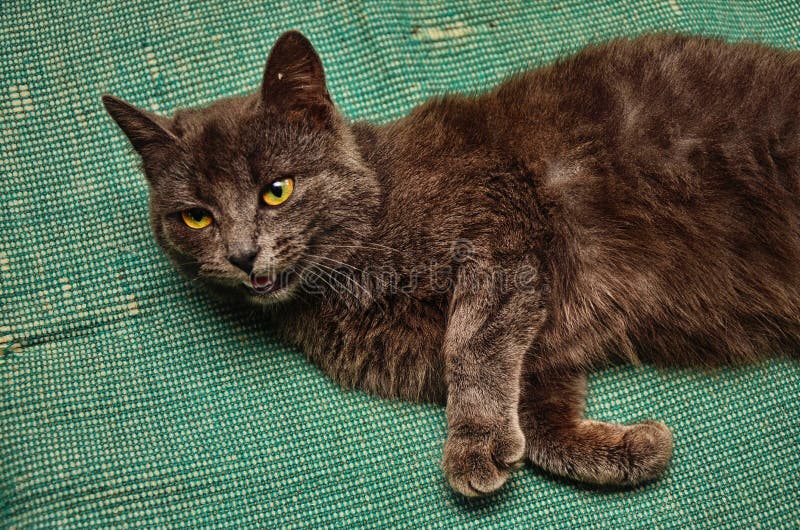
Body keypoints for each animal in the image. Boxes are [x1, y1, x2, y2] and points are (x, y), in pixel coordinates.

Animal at [100, 32, 800, 496]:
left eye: (278, 189)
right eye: (196, 217)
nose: (243, 254)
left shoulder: (501, 228)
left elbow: (472, 339)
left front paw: (472, 445)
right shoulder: (543, 346)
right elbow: (537, 411)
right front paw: (627, 450)